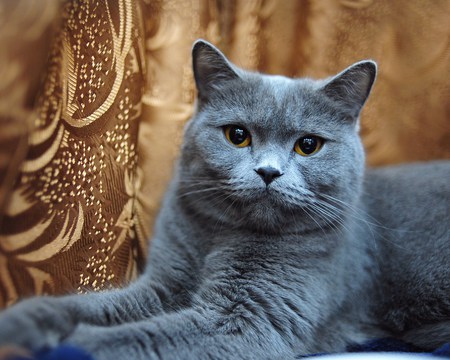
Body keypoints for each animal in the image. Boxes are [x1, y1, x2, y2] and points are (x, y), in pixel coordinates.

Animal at [0, 40, 450, 358]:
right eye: (237, 135)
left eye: (307, 145)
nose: (268, 172)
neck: (216, 238)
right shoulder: (163, 285)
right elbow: (93, 305)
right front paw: (23, 322)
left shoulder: (248, 319)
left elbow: (140, 337)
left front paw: (77, 343)